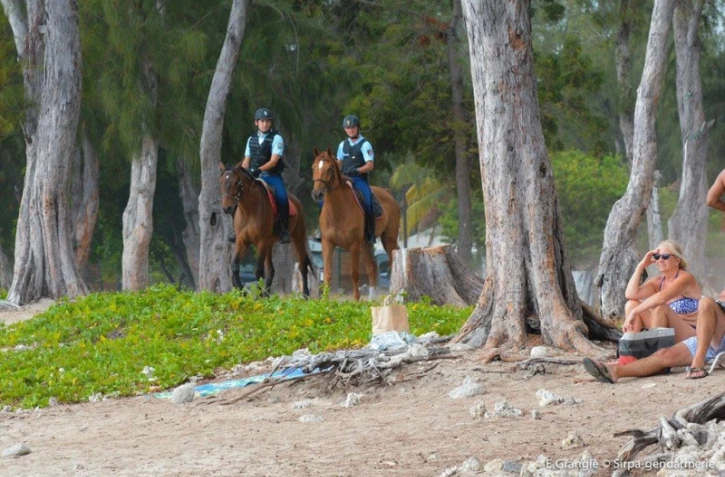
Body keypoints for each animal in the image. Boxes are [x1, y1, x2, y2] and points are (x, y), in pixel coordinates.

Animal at [219, 163, 314, 297]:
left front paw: (257, 297)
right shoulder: (242, 241)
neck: (249, 211)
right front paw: (242, 292)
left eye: (236, 182)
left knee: (302, 265)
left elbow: (258, 271)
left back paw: (305, 295)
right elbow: (234, 266)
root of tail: (296, 200)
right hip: (269, 244)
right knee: (271, 270)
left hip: (298, 238)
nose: (226, 208)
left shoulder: (261, 243)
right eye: (221, 182)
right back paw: (267, 296)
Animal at [311, 147, 401, 300]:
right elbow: (327, 273)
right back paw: (372, 298)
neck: (337, 211)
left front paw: (356, 300)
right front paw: (325, 301)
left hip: (389, 238)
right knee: (371, 267)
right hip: (366, 244)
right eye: (313, 167)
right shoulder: (327, 243)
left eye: (330, 169)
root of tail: (388, 193)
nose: (317, 194)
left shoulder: (353, 245)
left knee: (392, 261)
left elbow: (354, 273)